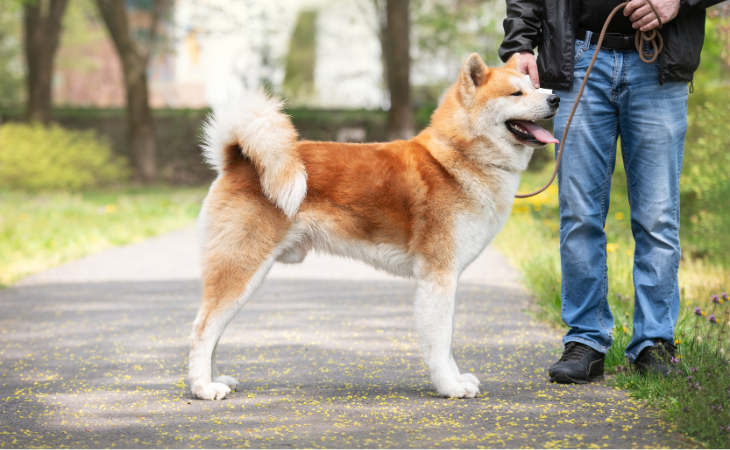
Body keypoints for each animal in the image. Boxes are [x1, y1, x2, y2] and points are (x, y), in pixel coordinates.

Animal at [186, 52, 556, 400]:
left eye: (534, 86)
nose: (555, 98)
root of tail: (236, 160)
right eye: (516, 93)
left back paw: (215, 379)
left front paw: (456, 378)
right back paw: (203, 387)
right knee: (203, 328)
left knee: (213, 330)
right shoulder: (438, 278)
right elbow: (439, 343)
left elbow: (448, 341)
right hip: (242, 267)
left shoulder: (447, 280)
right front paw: (449, 387)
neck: (458, 157)